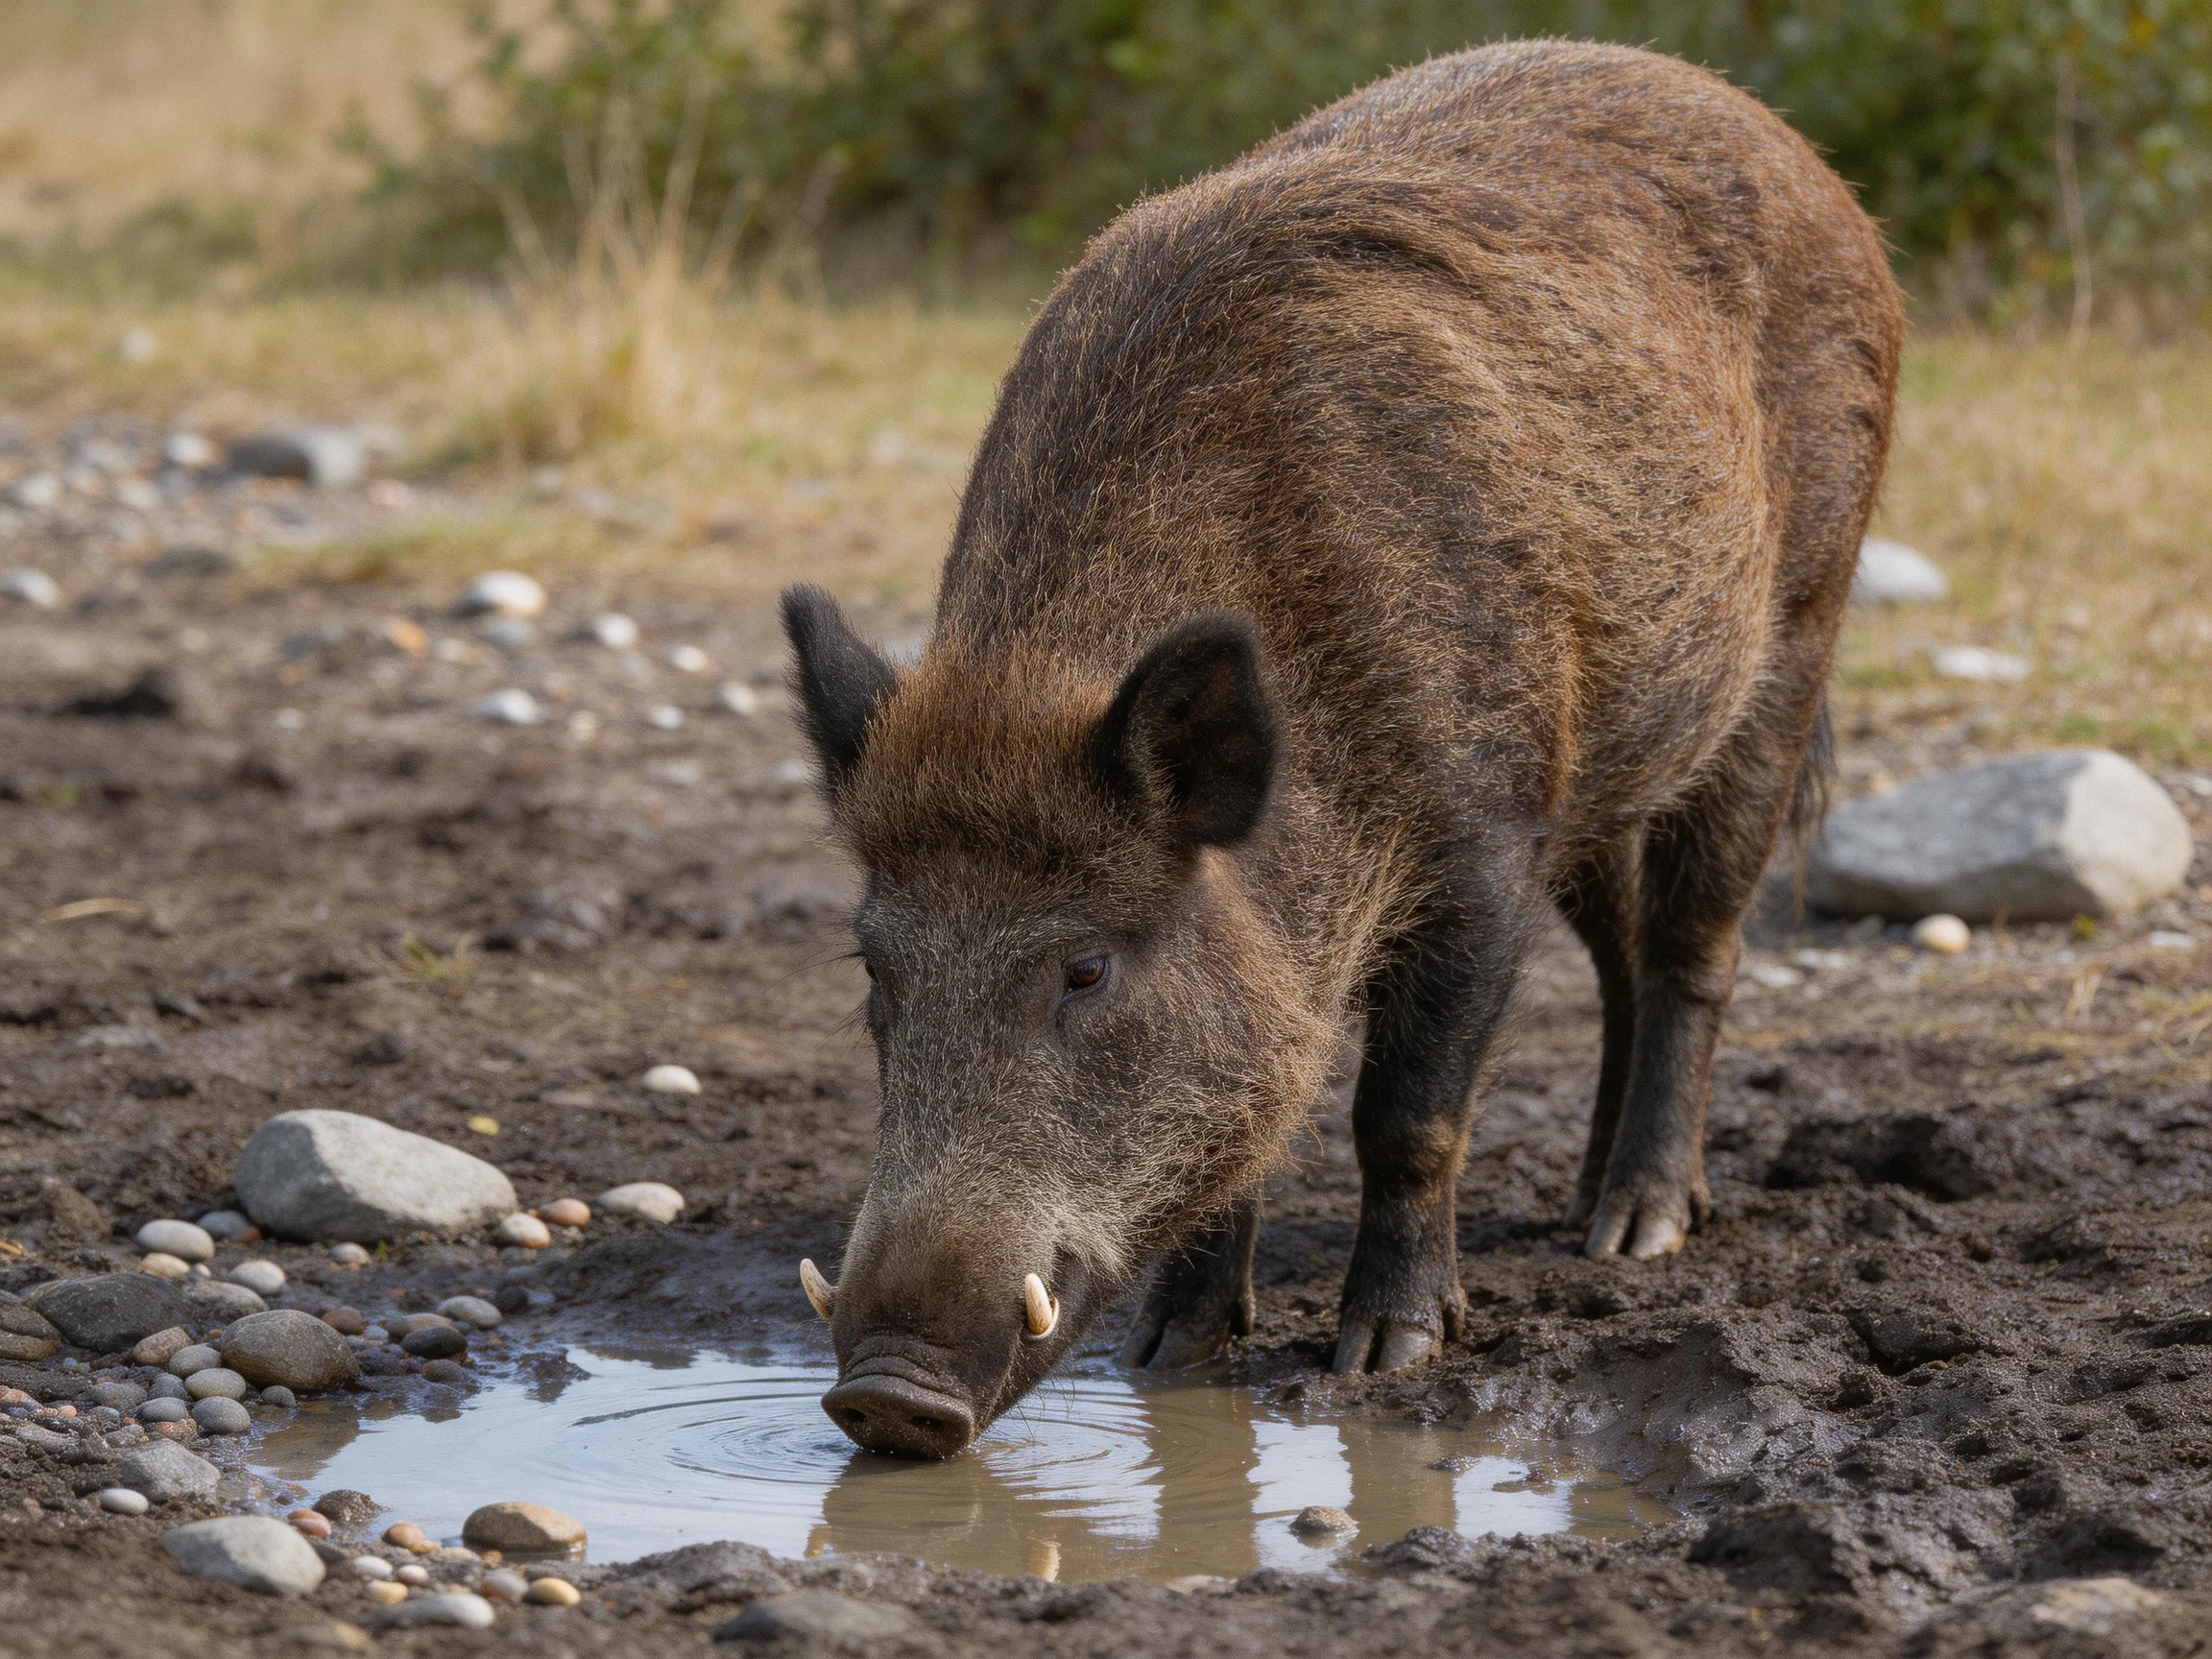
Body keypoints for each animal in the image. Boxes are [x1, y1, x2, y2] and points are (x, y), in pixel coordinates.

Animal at [784, 38, 1902, 1456]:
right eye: (875, 969)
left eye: (1086, 968)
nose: (888, 1395)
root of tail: (1791, 145)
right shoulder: (1512, 832)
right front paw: (1173, 1355)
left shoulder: (1482, 844)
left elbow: (1406, 1113)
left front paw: (1387, 1359)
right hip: (1600, 769)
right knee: (1621, 957)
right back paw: (1579, 1214)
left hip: (1794, 633)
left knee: (1696, 942)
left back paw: (1637, 1236)